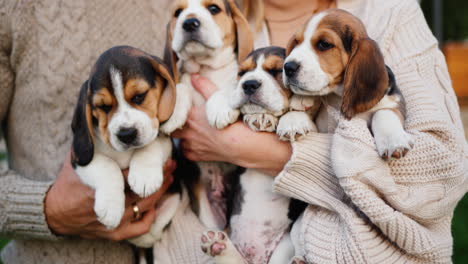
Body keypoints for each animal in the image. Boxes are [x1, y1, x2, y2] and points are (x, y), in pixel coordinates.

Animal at [70, 46, 184, 245]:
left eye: (139, 96)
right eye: (104, 107)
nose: (126, 134)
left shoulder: (165, 139)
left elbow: (151, 143)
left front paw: (145, 177)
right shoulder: (78, 160)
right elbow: (107, 166)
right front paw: (110, 207)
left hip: (172, 200)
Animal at [200, 47, 308, 264]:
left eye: (277, 70)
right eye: (242, 72)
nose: (249, 84)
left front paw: (294, 119)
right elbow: (231, 89)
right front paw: (222, 107)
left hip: (285, 243)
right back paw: (218, 246)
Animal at [282, 8, 414, 159]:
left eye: (324, 44)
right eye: (296, 42)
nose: (288, 67)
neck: (338, 95)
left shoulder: (395, 100)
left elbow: (384, 112)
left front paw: (393, 140)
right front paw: (293, 119)